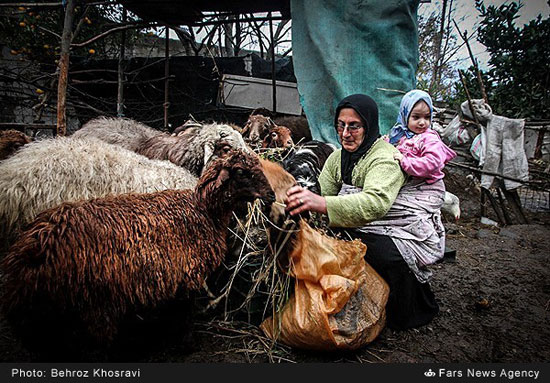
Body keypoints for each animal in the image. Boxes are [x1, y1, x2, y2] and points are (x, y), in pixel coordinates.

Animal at [0, 149, 276, 352]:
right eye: (240, 172)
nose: (272, 195)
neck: (204, 211)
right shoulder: (189, 274)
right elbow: (186, 314)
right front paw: (186, 345)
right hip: (92, 300)